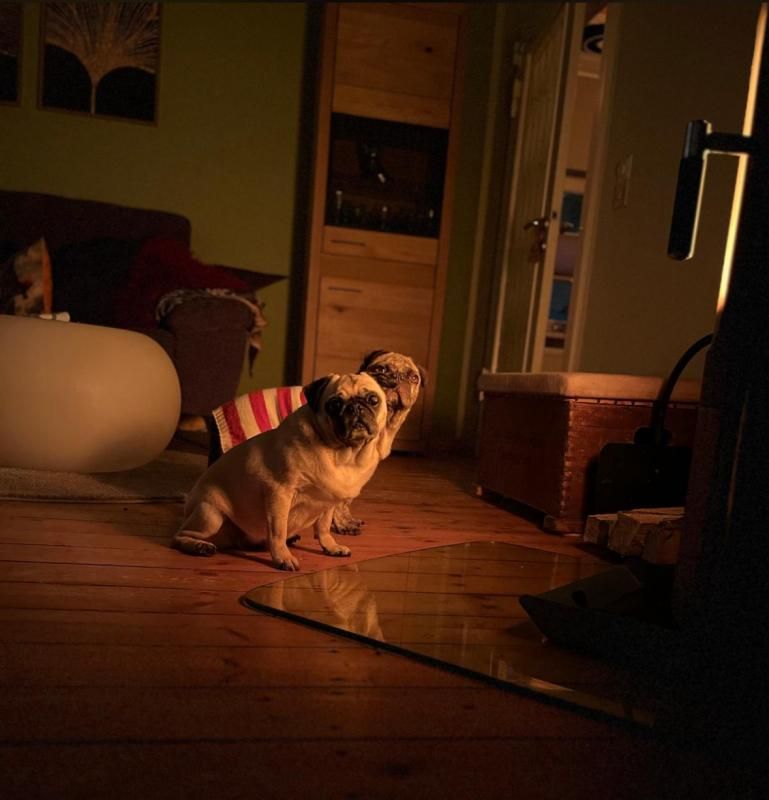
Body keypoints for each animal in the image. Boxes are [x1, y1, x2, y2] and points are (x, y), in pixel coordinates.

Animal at [172, 373, 388, 571]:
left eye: (373, 399)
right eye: (334, 404)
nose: (356, 407)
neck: (343, 454)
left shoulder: (328, 501)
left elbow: (324, 528)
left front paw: (331, 547)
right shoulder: (280, 492)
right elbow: (278, 530)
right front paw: (283, 558)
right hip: (211, 514)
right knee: (179, 536)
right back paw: (199, 546)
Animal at [331, 350, 426, 535]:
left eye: (413, 377)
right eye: (380, 369)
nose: (396, 377)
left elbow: (345, 501)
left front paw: (345, 520)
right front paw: (341, 524)